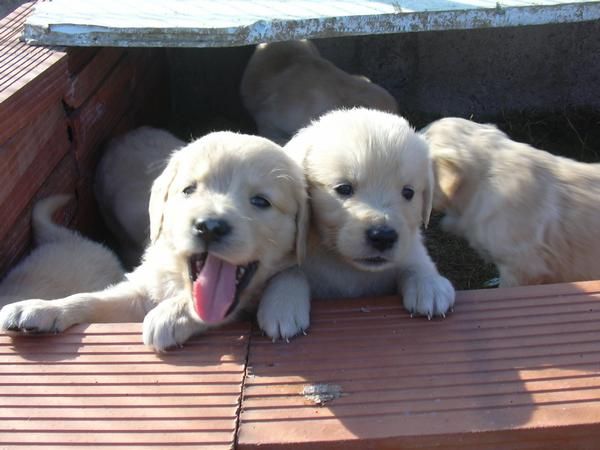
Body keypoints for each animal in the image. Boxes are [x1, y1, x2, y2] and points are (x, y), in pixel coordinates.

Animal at [0, 132, 310, 350]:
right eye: (189, 190)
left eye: (261, 201)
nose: (209, 227)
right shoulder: (143, 289)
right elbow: (91, 299)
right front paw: (40, 308)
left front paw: (170, 315)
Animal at [258, 108, 454, 342]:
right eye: (344, 188)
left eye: (408, 192)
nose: (383, 236)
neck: (345, 263)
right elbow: (290, 271)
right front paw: (283, 304)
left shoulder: (409, 244)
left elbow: (416, 261)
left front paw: (429, 284)